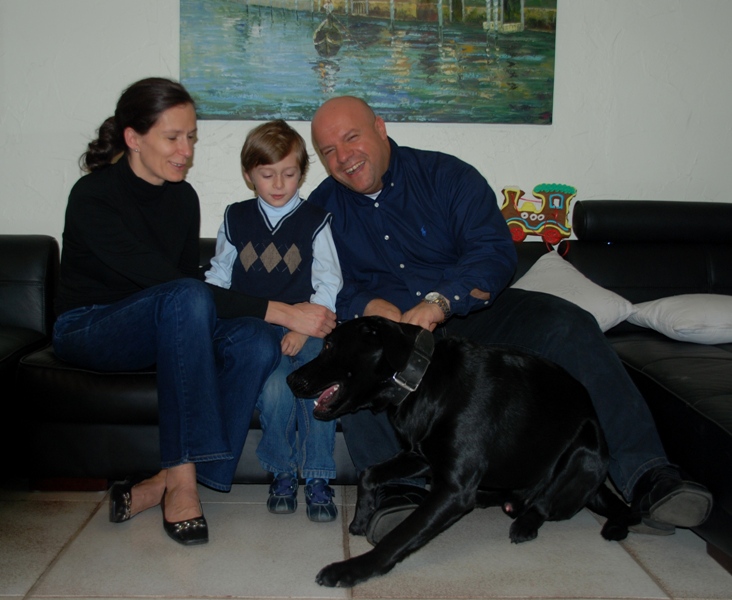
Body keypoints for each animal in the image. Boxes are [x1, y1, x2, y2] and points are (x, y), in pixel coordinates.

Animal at [287, 316, 631, 587]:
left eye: (329, 346)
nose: (290, 378)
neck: (420, 381)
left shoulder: (453, 488)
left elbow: (398, 537)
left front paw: (352, 569)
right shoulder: (421, 456)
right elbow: (370, 474)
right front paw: (362, 516)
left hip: (585, 449)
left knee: (543, 503)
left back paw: (526, 523)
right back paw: (490, 499)